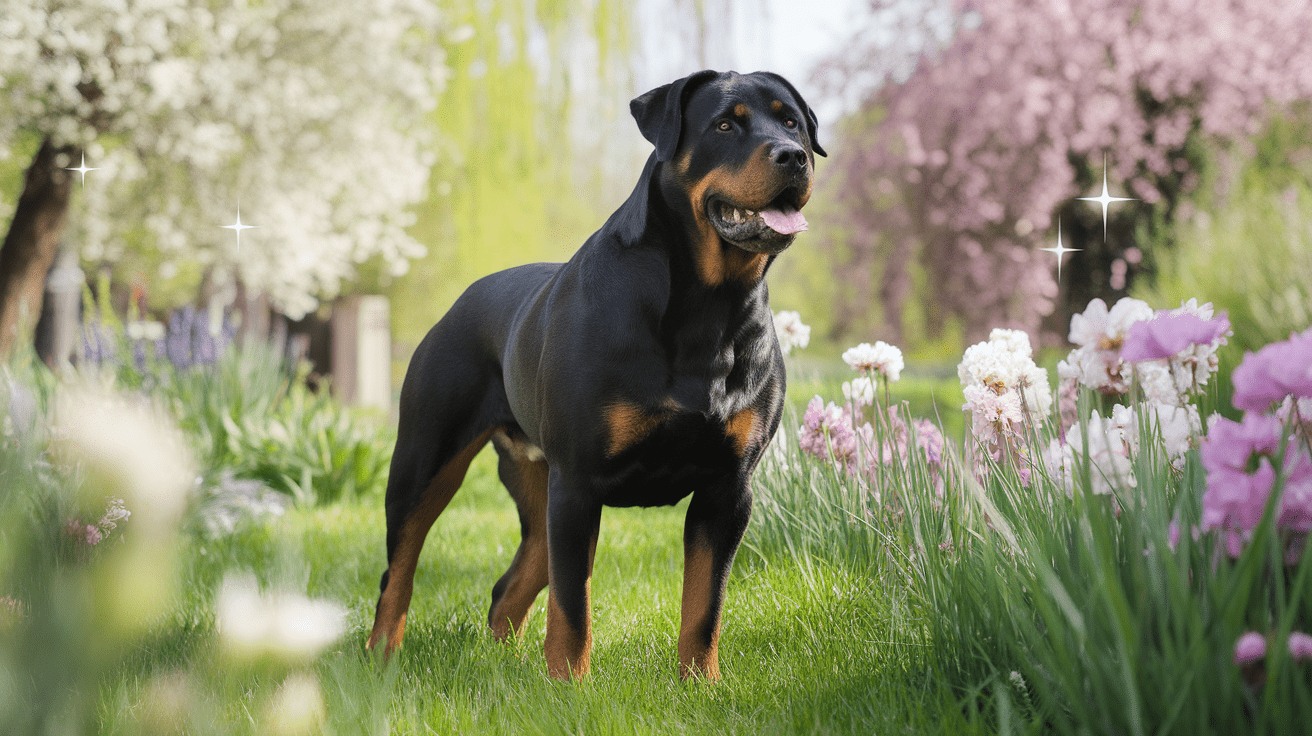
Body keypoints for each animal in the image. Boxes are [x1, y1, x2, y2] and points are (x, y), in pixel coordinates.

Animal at [364, 68, 823, 676]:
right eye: (726, 125)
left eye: (792, 122)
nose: (793, 156)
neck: (709, 305)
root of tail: (459, 302)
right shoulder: (579, 482)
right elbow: (572, 608)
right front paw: (569, 686)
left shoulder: (728, 489)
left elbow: (705, 606)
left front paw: (700, 684)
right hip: (427, 461)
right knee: (399, 570)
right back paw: (381, 657)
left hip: (538, 490)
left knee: (511, 586)